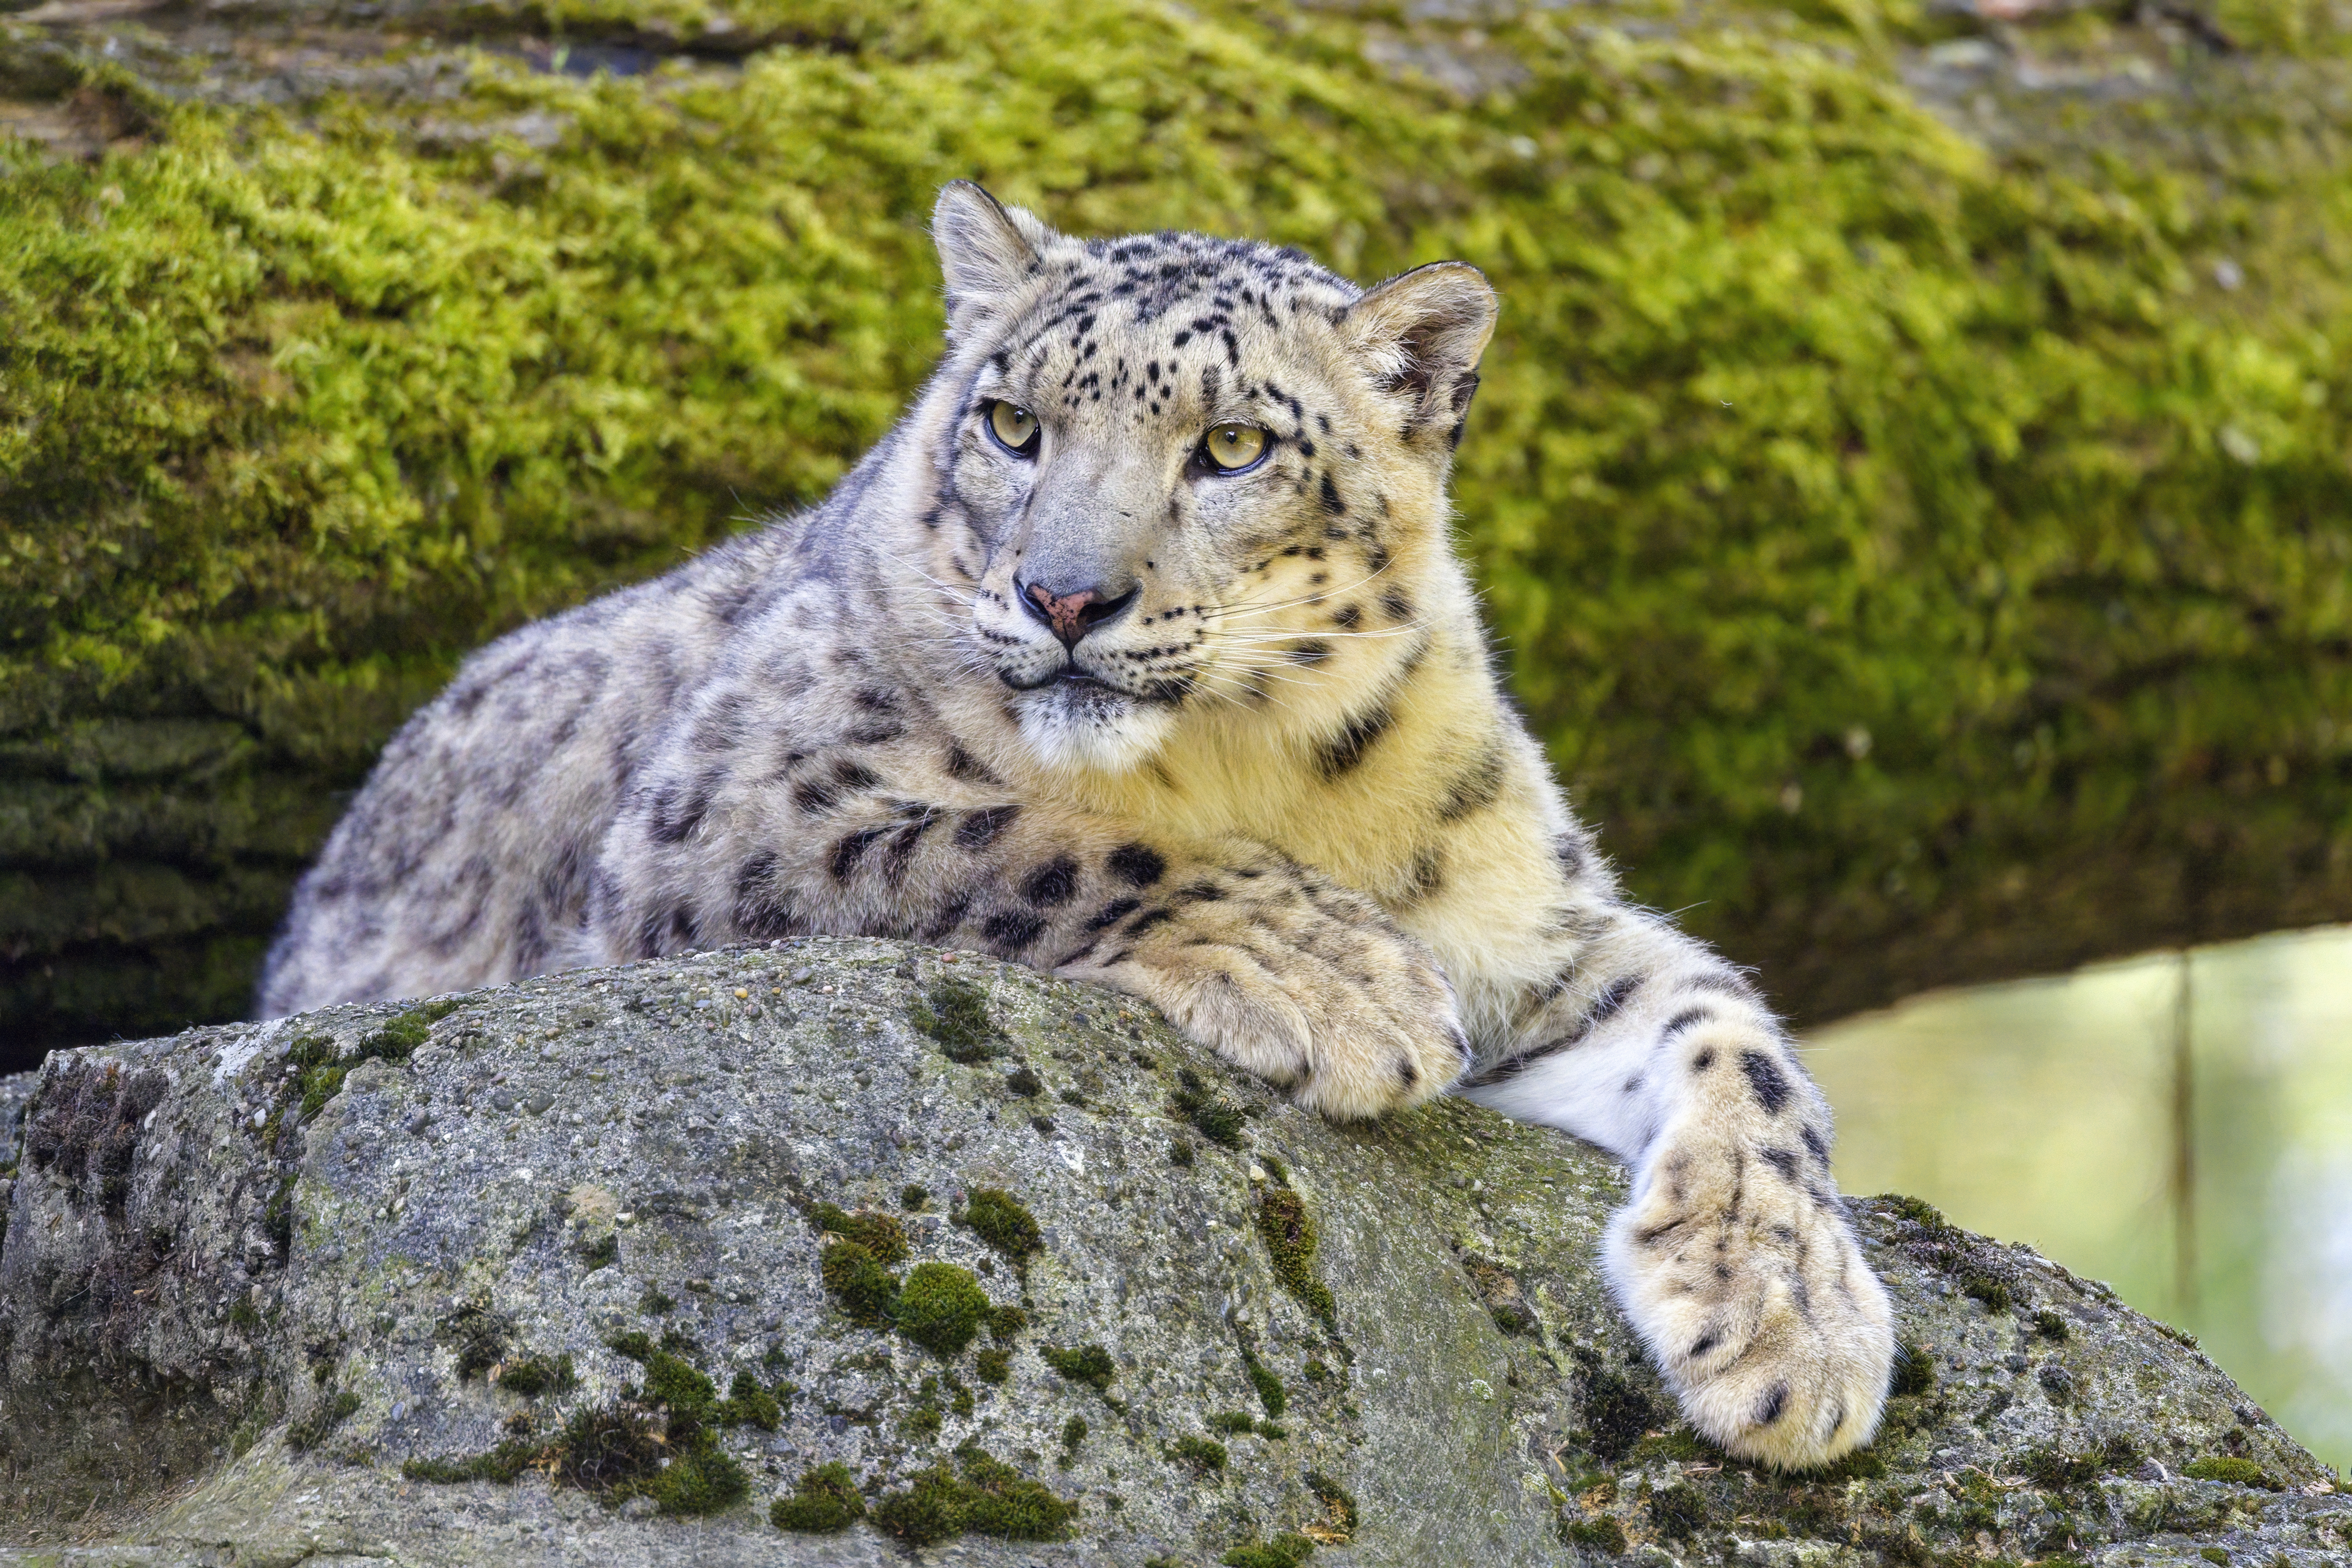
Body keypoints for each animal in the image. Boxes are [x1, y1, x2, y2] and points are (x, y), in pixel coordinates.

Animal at [267, 181, 1900, 1476]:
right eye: (1011, 423)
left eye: (1233, 445)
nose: (1064, 595)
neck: (1246, 765)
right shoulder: (728, 812)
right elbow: (1023, 837)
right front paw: (1336, 978)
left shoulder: (1531, 927)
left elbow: (1736, 1038)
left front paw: (1788, 1322)